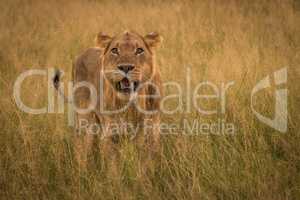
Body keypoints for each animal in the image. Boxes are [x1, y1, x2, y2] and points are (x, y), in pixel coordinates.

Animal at [53, 30, 163, 164]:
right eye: (115, 50)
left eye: (139, 50)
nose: (125, 67)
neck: (132, 105)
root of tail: (81, 54)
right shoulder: (111, 134)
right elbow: (113, 165)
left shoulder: (151, 131)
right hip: (85, 119)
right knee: (82, 147)